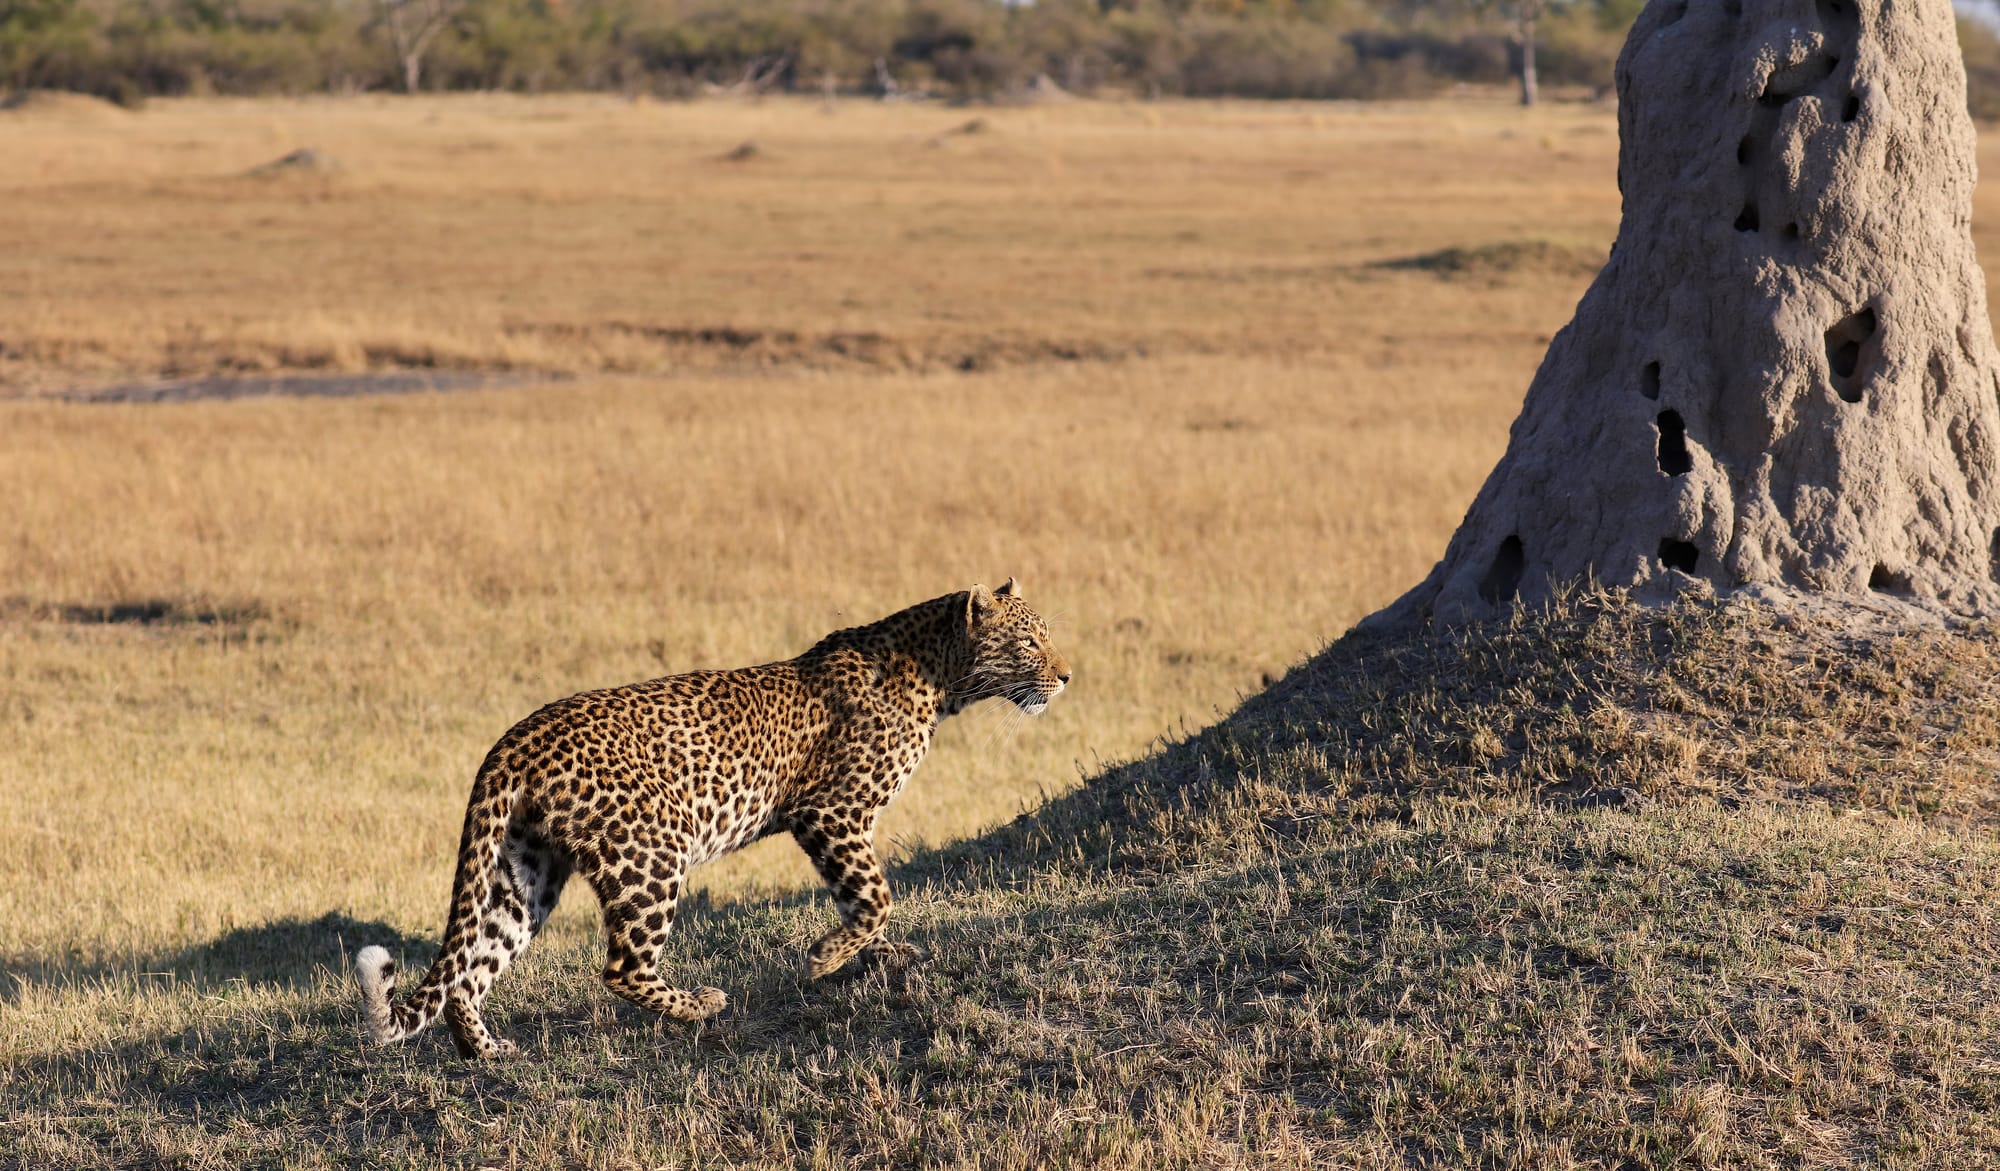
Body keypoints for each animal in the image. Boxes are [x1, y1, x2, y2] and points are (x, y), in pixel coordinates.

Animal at [352, 579, 1072, 1055]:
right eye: (1029, 641)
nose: (1066, 675)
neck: (939, 675)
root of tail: (514, 739)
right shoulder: (832, 810)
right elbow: (875, 895)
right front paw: (824, 959)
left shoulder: (840, 821)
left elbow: (866, 901)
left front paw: (878, 955)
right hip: (650, 855)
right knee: (621, 968)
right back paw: (701, 1005)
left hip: (526, 869)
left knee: (471, 967)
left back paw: (485, 1050)